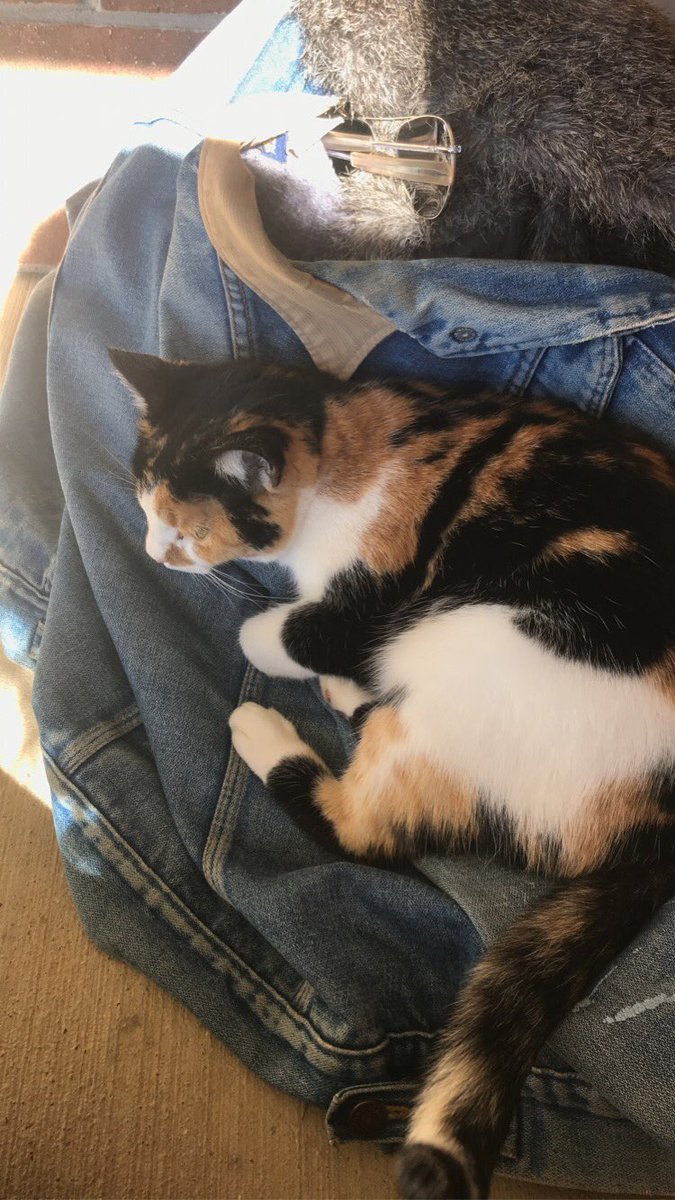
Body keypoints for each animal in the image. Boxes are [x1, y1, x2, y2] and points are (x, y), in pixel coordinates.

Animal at [111, 346, 675, 1199]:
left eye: (182, 529)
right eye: (146, 509)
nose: (150, 552)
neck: (341, 440)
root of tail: (661, 825)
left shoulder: (369, 599)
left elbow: (277, 634)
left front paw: (268, 640)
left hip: (466, 653)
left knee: (363, 828)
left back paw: (266, 725)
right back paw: (350, 696)